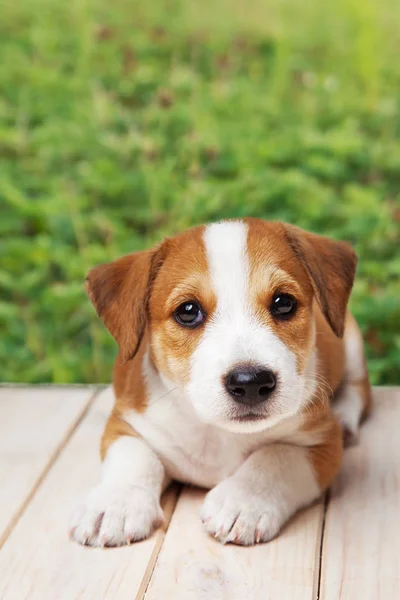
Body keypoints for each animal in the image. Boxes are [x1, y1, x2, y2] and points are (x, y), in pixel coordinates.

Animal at [69, 219, 372, 548]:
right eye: (188, 311)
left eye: (284, 303)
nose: (251, 383)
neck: (217, 432)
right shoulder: (127, 423)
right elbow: (133, 456)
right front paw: (116, 503)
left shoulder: (321, 441)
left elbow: (276, 456)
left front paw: (244, 501)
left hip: (352, 342)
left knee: (359, 389)